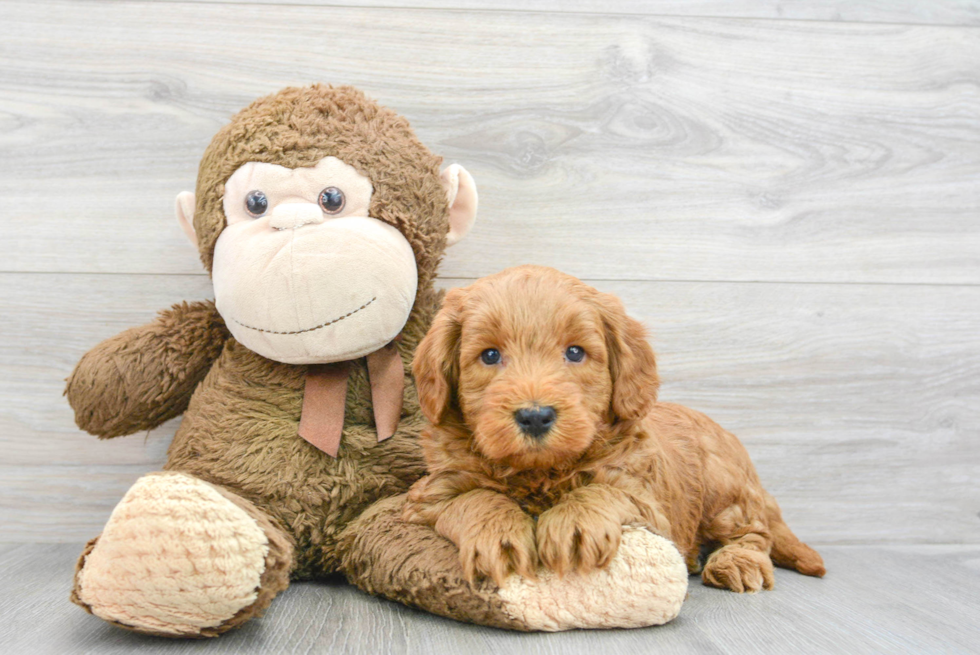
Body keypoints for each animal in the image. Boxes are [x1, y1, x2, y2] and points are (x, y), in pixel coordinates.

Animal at [406, 264, 828, 592]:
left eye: (575, 352)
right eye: (490, 355)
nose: (535, 416)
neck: (540, 474)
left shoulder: (646, 497)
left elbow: (602, 489)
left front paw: (575, 524)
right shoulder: (427, 495)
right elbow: (474, 497)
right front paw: (499, 535)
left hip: (724, 491)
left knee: (755, 533)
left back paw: (736, 562)